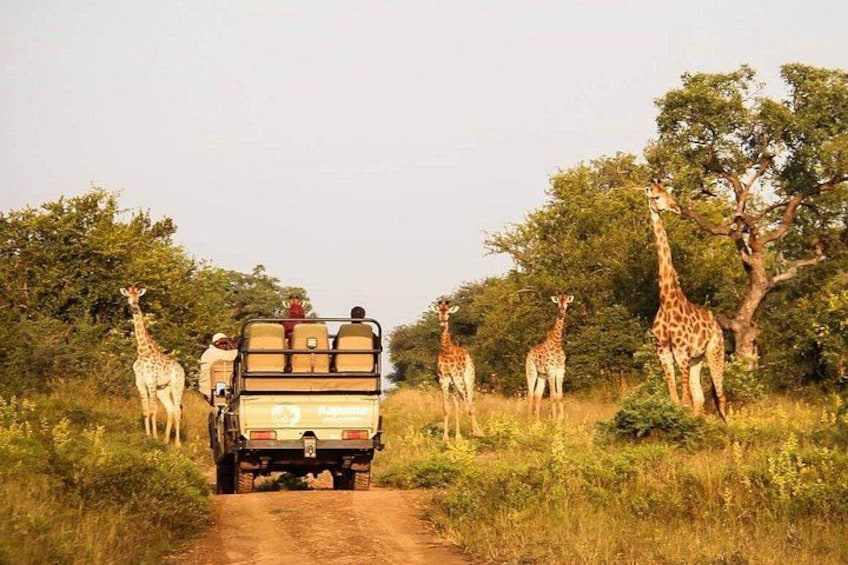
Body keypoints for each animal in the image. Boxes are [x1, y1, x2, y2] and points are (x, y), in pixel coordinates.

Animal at [120, 286, 186, 446]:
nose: (134, 303)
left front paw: (154, 437)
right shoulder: (140, 383)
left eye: (138, 296)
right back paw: (166, 440)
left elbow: (153, 410)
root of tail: (182, 370)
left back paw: (177, 444)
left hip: (178, 385)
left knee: (177, 410)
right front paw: (148, 435)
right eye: (128, 296)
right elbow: (146, 411)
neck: (142, 351)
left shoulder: (151, 381)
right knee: (170, 410)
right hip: (164, 389)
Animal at [432, 300, 484, 441]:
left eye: (448, 312)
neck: (446, 350)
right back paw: (458, 435)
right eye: (439, 311)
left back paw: (478, 432)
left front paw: (476, 433)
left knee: (470, 402)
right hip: (454, 386)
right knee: (458, 405)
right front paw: (445, 438)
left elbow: (468, 407)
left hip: (468, 379)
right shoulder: (443, 380)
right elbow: (446, 408)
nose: (443, 319)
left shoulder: (457, 378)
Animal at [645, 180, 727, 421]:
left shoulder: (681, 352)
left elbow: (683, 402)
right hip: (697, 359)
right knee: (700, 399)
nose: (677, 208)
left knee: (721, 397)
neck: (666, 300)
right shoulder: (663, 353)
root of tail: (718, 327)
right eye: (656, 197)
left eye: (669, 194)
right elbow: (675, 400)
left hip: (715, 352)